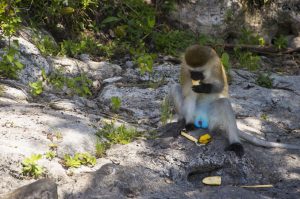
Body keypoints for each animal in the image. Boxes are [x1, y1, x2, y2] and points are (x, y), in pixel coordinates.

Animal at [171, 45, 300, 157]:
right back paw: (188, 123)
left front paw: (204, 88)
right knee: (177, 89)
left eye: (199, 73)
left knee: (224, 103)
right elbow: (188, 92)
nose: (194, 78)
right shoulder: (184, 68)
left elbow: (221, 86)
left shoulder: (216, 66)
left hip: (214, 121)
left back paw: (236, 144)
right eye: (192, 72)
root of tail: (200, 120)